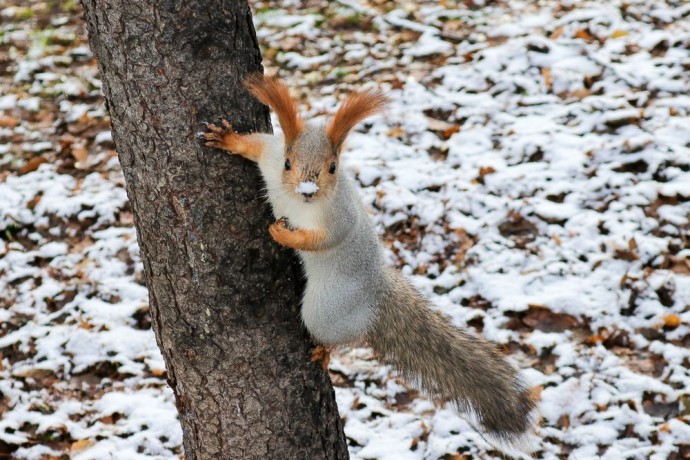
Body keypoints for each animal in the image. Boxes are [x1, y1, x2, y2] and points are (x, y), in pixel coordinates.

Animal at [203, 73, 536, 454]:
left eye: (333, 168)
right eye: (289, 163)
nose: (307, 190)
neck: (298, 202)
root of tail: (375, 293)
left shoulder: (338, 219)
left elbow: (322, 240)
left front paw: (284, 234)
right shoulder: (271, 158)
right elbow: (254, 146)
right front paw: (226, 138)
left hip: (325, 309)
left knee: (344, 335)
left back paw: (325, 350)